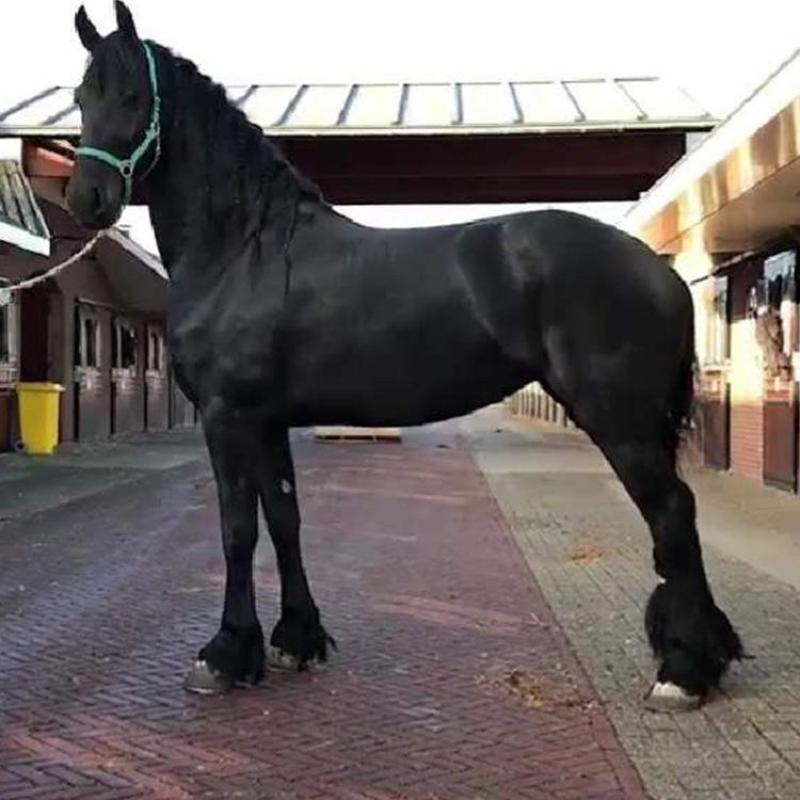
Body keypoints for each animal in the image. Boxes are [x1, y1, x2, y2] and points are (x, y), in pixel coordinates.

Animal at [66, 2, 742, 710]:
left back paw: (681, 673)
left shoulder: (229, 418)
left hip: (620, 421)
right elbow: (284, 518)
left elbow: (236, 531)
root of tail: (658, 270)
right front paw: (295, 640)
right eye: (82, 97)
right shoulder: (268, 421)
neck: (245, 249)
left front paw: (225, 655)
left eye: (134, 96)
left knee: (672, 515)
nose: (88, 199)